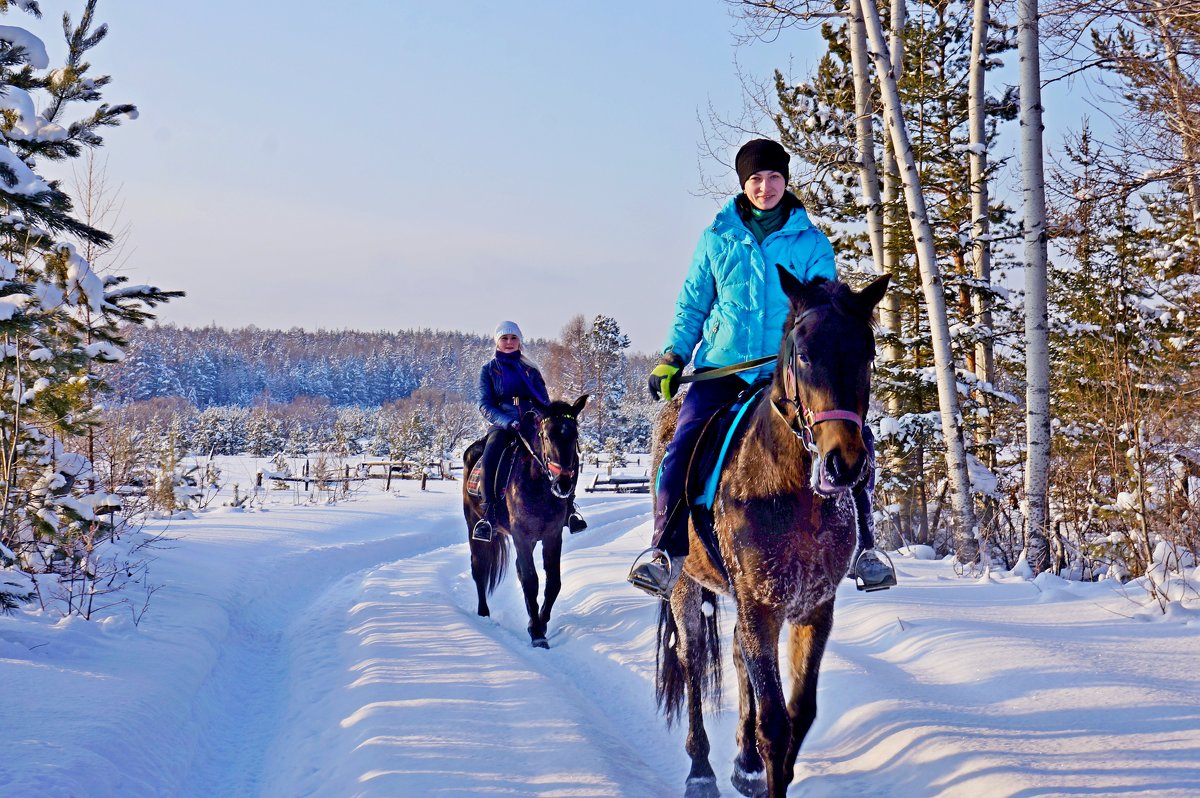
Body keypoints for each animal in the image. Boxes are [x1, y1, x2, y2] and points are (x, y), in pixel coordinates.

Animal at [460, 391, 588, 648]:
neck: (538, 484)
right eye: (546, 435)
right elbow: (530, 580)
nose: (563, 484)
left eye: (574, 435)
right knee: (479, 568)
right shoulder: (521, 536)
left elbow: (553, 581)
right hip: (474, 527)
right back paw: (483, 613)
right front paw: (537, 634)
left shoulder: (552, 535)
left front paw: (540, 623)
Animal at [652, 268, 888, 796]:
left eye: (866, 354)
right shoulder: (760, 605)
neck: (792, 494)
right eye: (804, 354)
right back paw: (701, 771)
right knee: (693, 661)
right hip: (684, 587)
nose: (844, 464)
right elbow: (775, 725)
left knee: (739, 656)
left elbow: (798, 716)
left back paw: (744, 763)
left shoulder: (812, 610)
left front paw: (757, 767)